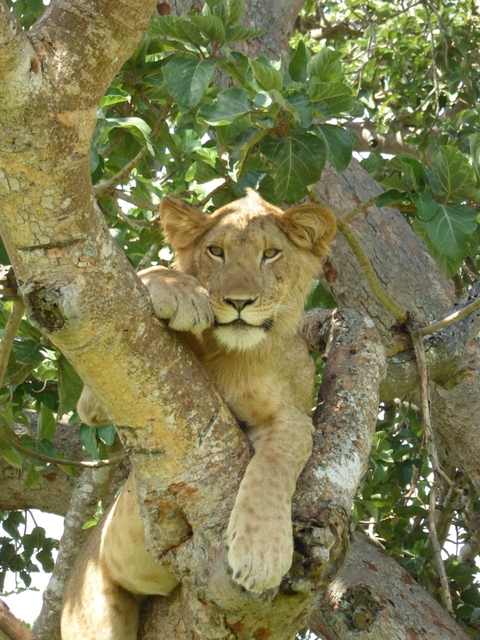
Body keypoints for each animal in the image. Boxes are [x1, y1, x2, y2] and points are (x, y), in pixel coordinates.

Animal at [60, 189, 336, 640]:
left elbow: (274, 466)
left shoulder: (294, 417)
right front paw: (181, 293)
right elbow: (152, 269)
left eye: (271, 254)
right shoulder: (99, 395)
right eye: (216, 252)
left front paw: (261, 555)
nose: (239, 302)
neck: (237, 355)